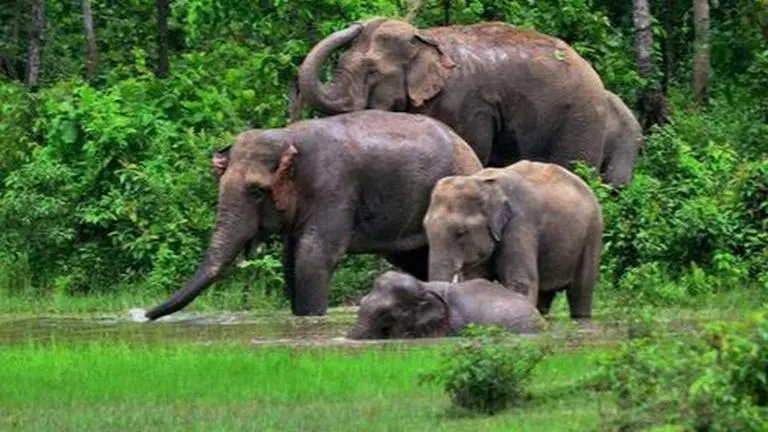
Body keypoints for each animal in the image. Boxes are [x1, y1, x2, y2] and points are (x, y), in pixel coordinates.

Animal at [143, 110, 483, 321]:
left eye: (257, 191)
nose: (143, 314)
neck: (287, 137)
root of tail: (468, 148)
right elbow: (290, 259)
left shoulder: (334, 187)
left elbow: (313, 255)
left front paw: (312, 316)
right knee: (413, 260)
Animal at [423, 160, 603, 319]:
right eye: (425, 228)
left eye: (460, 232)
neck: (482, 183)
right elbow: (476, 280)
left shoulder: (520, 223)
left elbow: (521, 283)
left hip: (592, 232)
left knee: (581, 290)